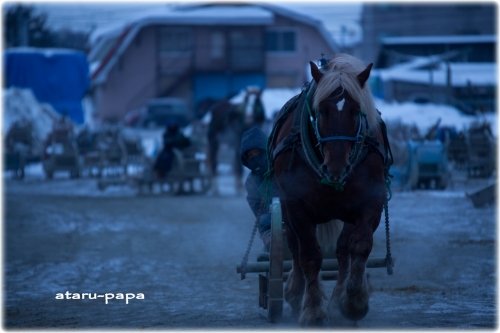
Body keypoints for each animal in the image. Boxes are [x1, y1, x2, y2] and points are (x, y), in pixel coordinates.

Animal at [268, 54, 392, 324]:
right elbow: (309, 256)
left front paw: (354, 301)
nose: (336, 165)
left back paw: (337, 298)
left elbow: (360, 246)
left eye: (356, 111)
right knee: (294, 246)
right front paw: (313, 309)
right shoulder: (296, 206)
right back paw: (295, 293)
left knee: (343, 250)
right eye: (321, 111)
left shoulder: (371, 201)